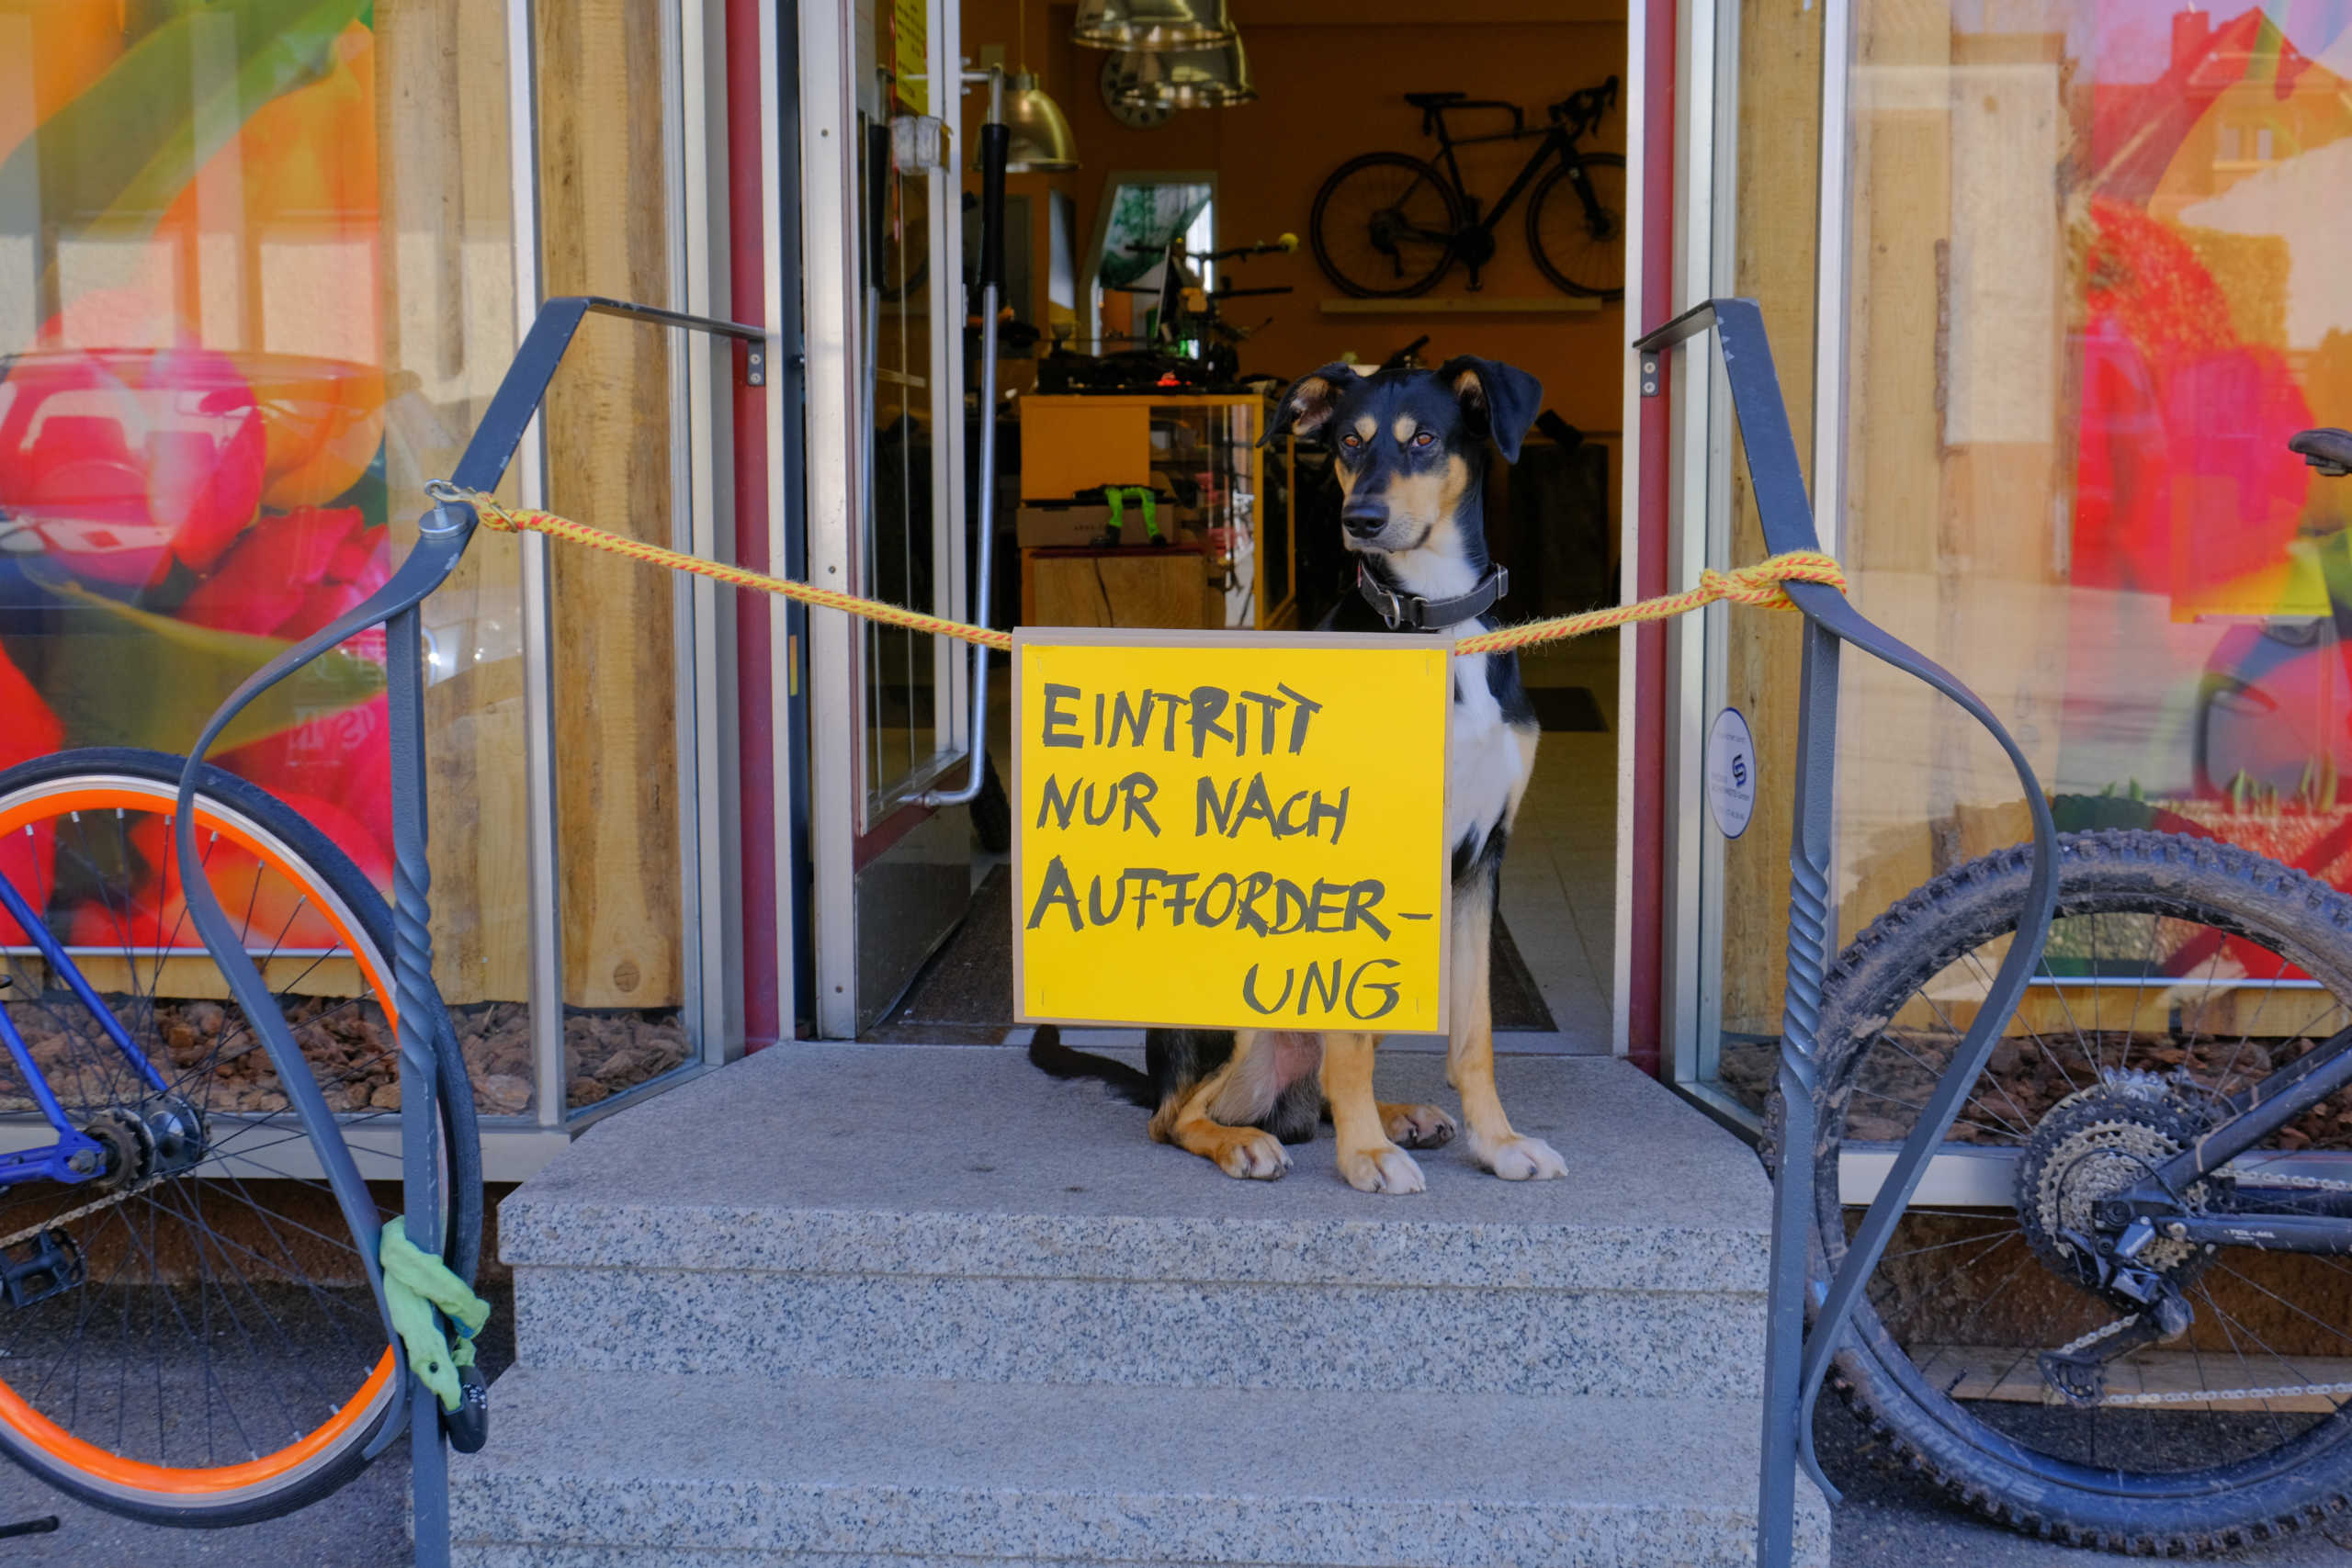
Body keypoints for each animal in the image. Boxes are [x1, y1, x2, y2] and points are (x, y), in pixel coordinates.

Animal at [1030, 352, 1561, 1189]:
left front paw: (1499, 1143)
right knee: (1173, 1117)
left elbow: (1474, 1037)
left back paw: (1397, 1116)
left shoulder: (1484, 860)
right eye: (1348, 440)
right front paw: (1366, 1156)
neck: (1431, 622)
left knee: (1309, 1096)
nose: (1361, 520)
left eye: (1424, 438)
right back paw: (1249, 1139)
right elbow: (1348, 1047)